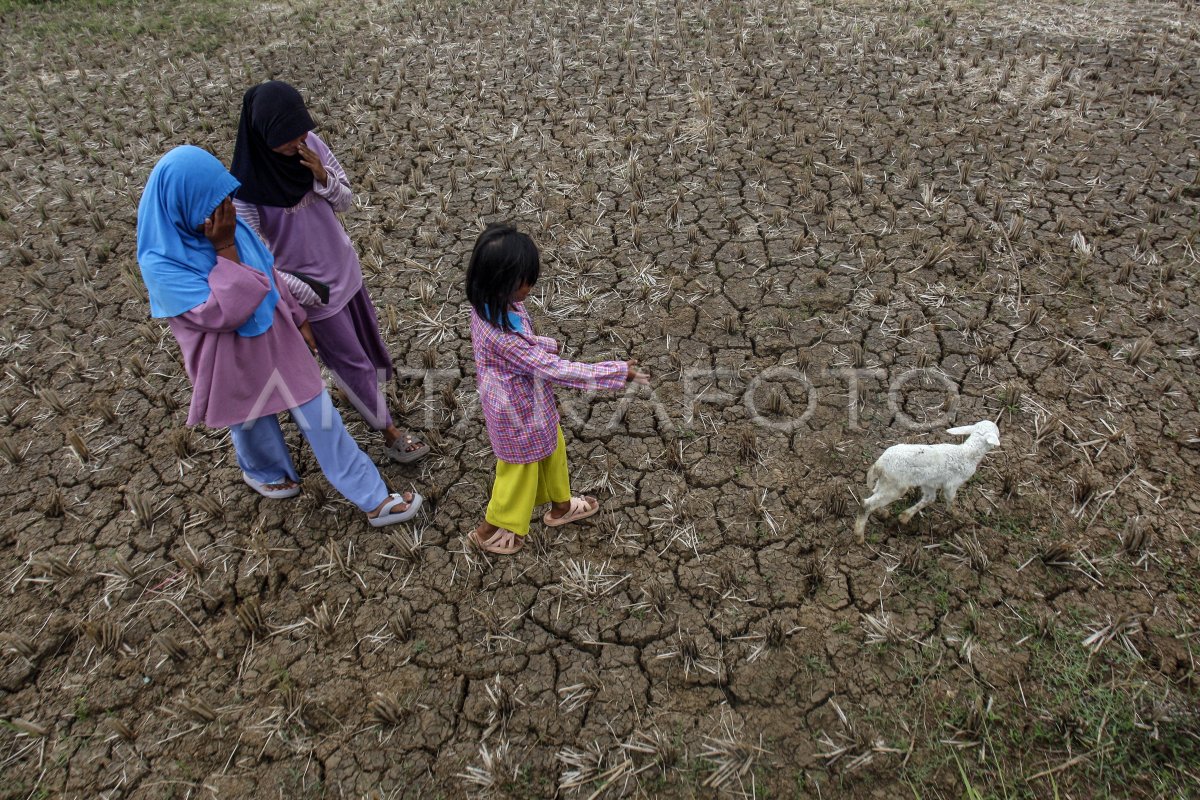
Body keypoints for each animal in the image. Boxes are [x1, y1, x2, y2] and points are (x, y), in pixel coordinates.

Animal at [854, 419, 1003, 544]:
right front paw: (956, 514)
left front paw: (905, 517)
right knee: (867, 504)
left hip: (885, 482)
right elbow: (950, 499)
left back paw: (882, 513)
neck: (968, 453)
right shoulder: (952, 484)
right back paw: (859, 537)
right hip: (896, 485)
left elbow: (929, 499)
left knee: (875, 495)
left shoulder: (929, 483)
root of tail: (879, 465)